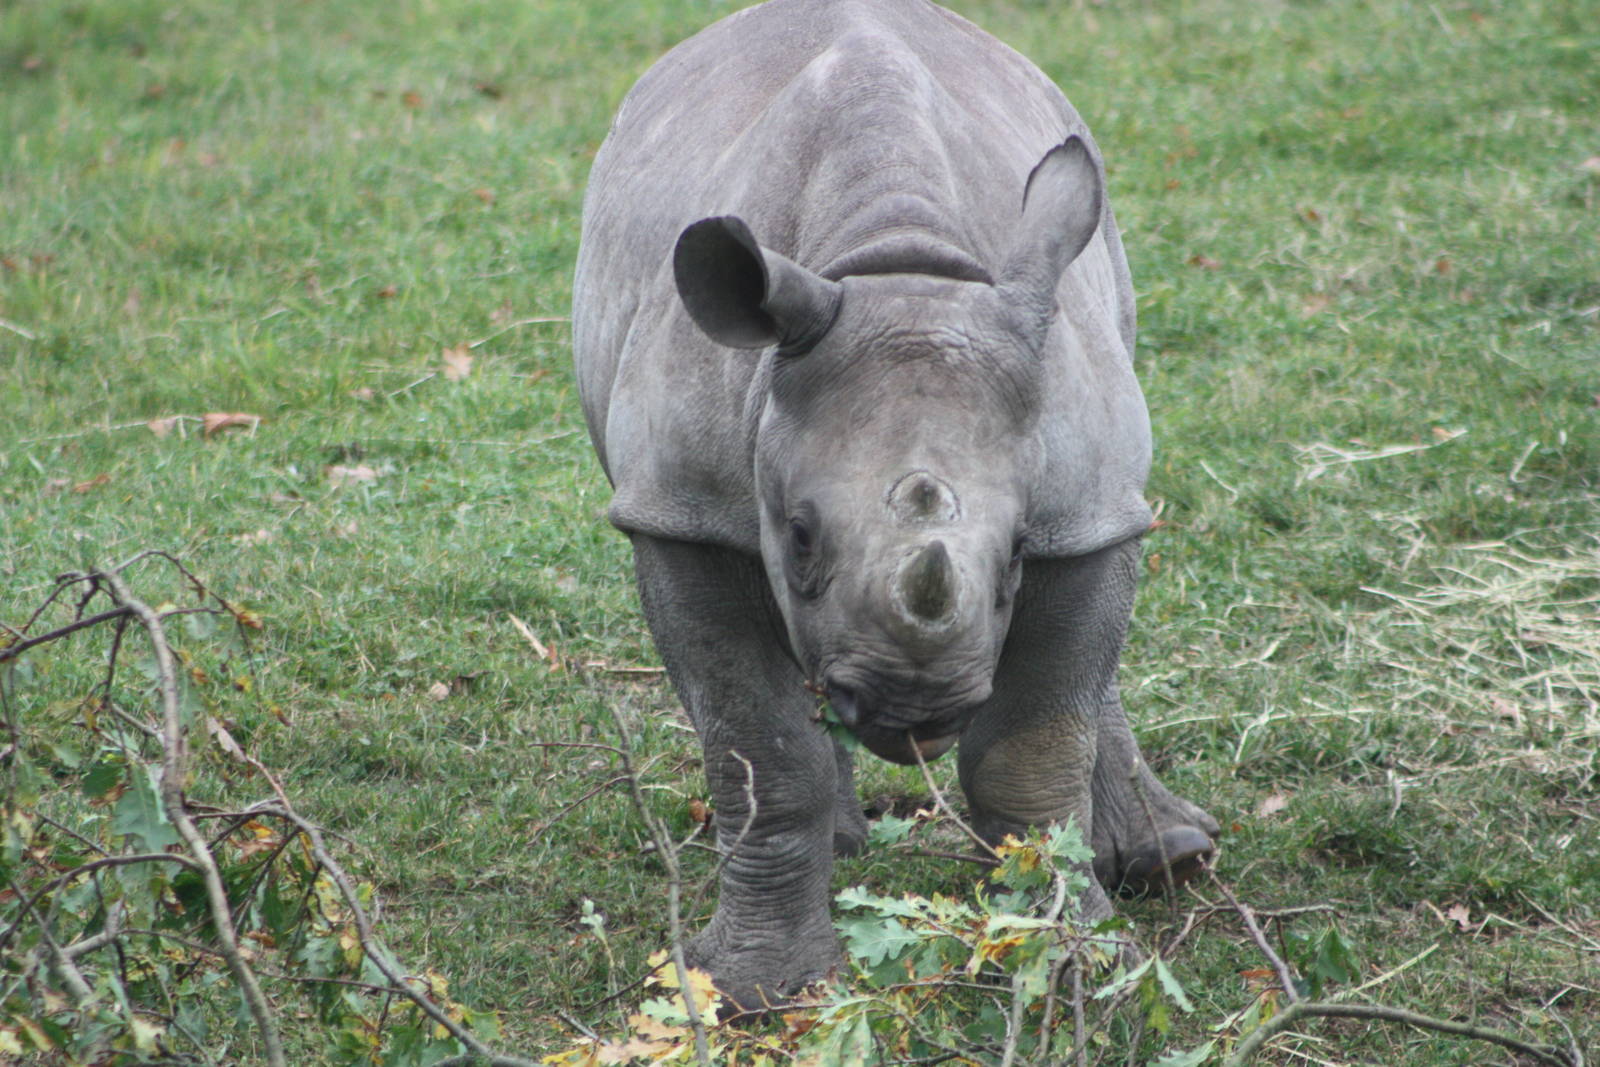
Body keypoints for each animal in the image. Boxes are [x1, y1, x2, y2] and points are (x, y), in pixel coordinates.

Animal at [571, 0, 1218, 1008]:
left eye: (1018, 549)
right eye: (798, 537)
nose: (917, 707)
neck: (898, 269)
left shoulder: (1084, 506)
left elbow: (1034, 744)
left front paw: (1069, 958)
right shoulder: (681, 508)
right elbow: (761, 750)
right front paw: (750, 991)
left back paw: (1170, 856)